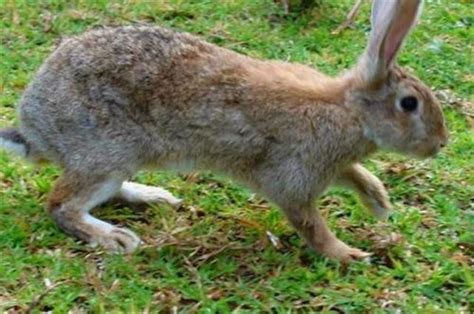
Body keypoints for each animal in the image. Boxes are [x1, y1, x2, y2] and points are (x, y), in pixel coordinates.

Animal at [0, 0, 448, 262]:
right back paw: (114, 238)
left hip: (118, 160)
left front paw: (380, 203)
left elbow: (356, 175)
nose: (441, 144)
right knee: (62, 204)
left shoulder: (330, 166)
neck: (347, 111)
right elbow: (311, 226)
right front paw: (349, 255)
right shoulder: (293, 177)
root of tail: (33, 127)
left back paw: (154, 196)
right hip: (104, 154)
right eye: (409, 104)